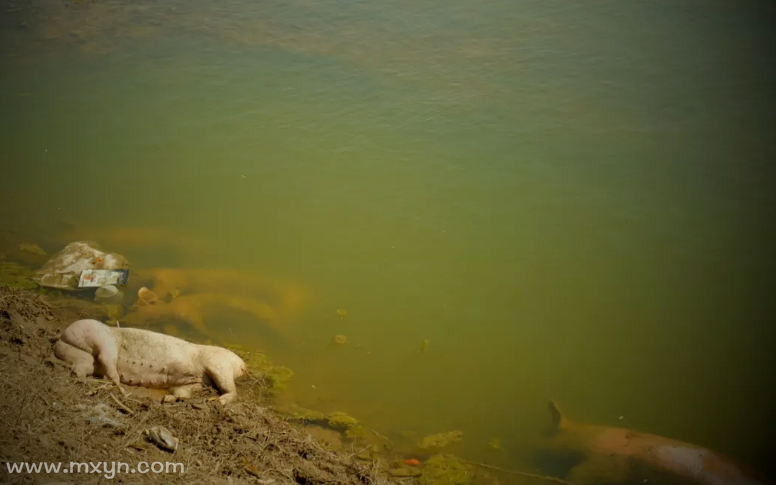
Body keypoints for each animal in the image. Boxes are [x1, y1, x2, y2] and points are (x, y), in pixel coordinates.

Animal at [54, 318, 247, 404]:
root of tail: (242, 364)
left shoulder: (106, 341)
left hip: (219, 366)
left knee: (231, 390)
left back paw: (216, 401)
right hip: (195, 381)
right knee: (184, 392)